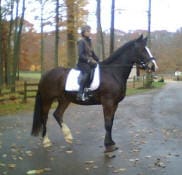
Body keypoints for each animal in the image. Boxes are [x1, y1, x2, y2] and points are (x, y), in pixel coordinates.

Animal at [30, 34, 158, 152]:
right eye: (142, 49)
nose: (154, 66)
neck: (113, 73)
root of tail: (45, 74)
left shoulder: (115, 104)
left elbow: (111, 123)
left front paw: (111, 143)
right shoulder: (108, 103)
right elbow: (107, 123)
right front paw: (108, 146)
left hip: (64, 99)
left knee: (57, 114)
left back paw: (68, 137)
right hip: (47, 99)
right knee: (44, 117)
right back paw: (46, 141)